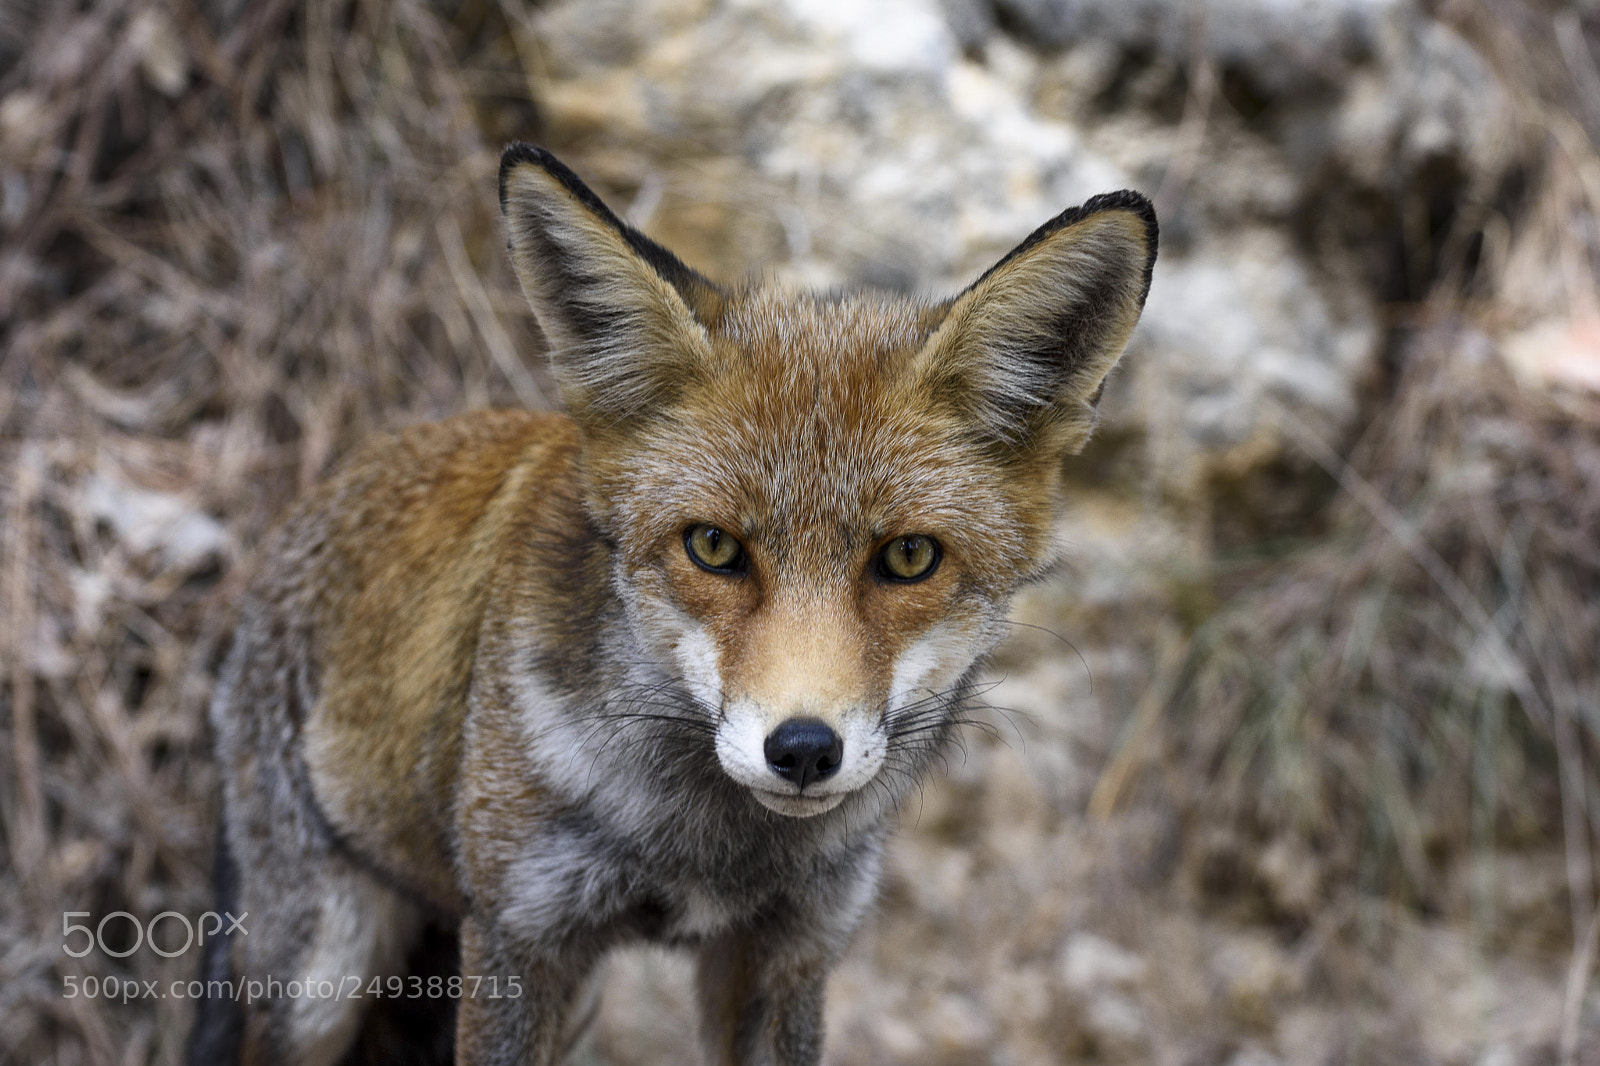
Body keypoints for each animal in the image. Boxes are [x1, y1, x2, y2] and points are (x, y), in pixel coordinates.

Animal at [188, 143, 1157, 1066]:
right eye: (714, 547)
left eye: (908, 557)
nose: (802, 751)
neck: (705, 846)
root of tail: (329, 480)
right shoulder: (519, 938)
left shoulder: (787, 954)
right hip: (319, 978)